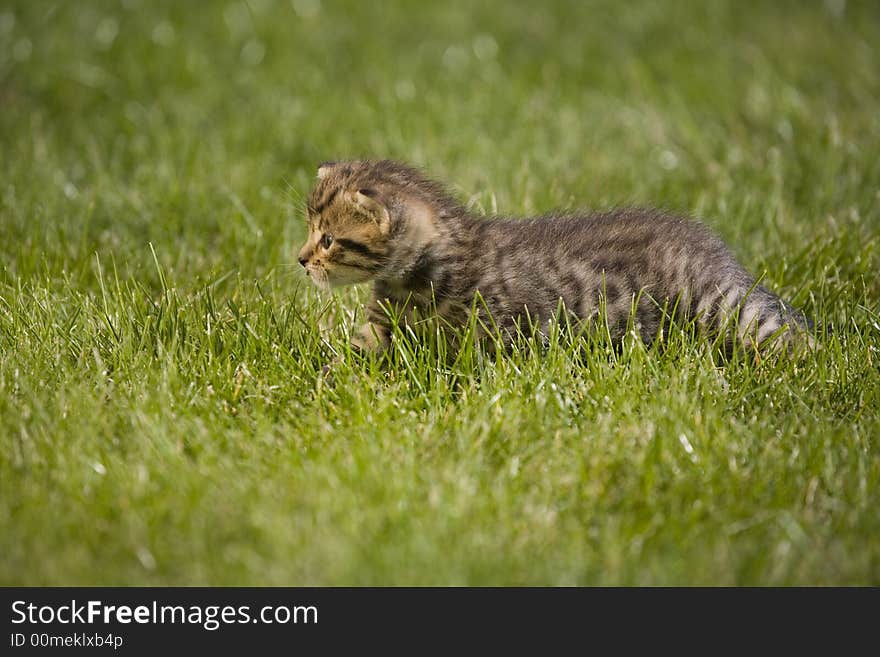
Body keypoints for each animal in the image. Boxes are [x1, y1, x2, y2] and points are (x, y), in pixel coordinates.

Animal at [298, 160, 812, 354]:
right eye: (311, 232)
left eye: (328, 239)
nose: (301, 259)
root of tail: (712, 247)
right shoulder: (379, 328)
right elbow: (345, 354)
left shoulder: (503, 330)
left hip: (717, 306)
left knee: (783, 329)